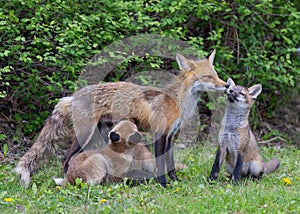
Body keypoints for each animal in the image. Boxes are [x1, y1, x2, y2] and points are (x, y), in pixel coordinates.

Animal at [15, 50, 226, 187]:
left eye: (216, 75)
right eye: (208, 77)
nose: (225, 86)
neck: (178, 102)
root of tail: (73, 96)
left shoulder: (171, 136)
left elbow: (171, 164)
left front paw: (174, 181)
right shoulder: (159, 134)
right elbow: (160, 164)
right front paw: (163, 184)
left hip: (98, 135)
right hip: (84, 135)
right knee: (65, 160)